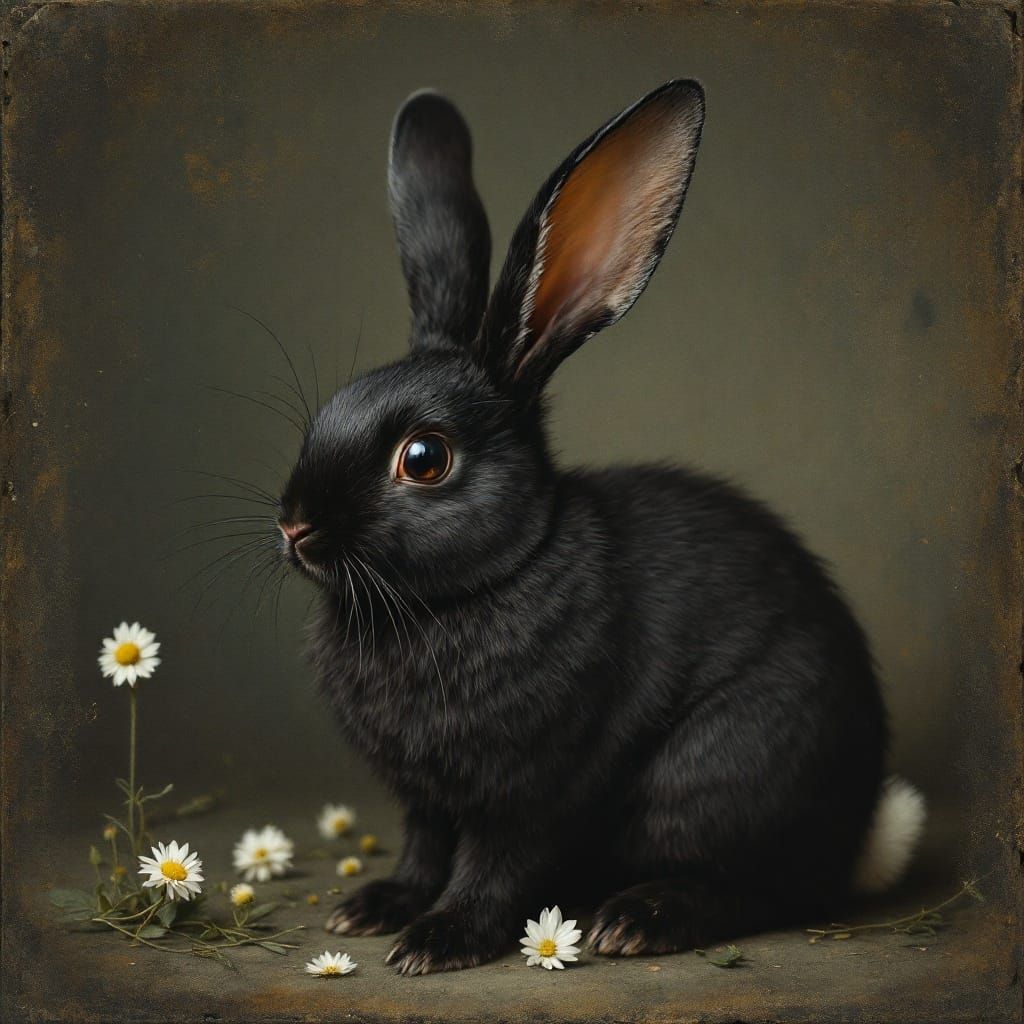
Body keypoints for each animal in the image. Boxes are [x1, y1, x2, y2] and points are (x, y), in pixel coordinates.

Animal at [277, 80, 926, 975]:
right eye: (326, 414)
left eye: (424, 458)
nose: (295, 526)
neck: (477, 584)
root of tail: (853, 839)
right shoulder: (427, 799)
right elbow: (423, 849)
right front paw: (375, 909)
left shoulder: (532, 790)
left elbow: (492, 864)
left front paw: (438, 940)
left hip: (716, 778)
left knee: (751, 890)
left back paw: (640, 919)